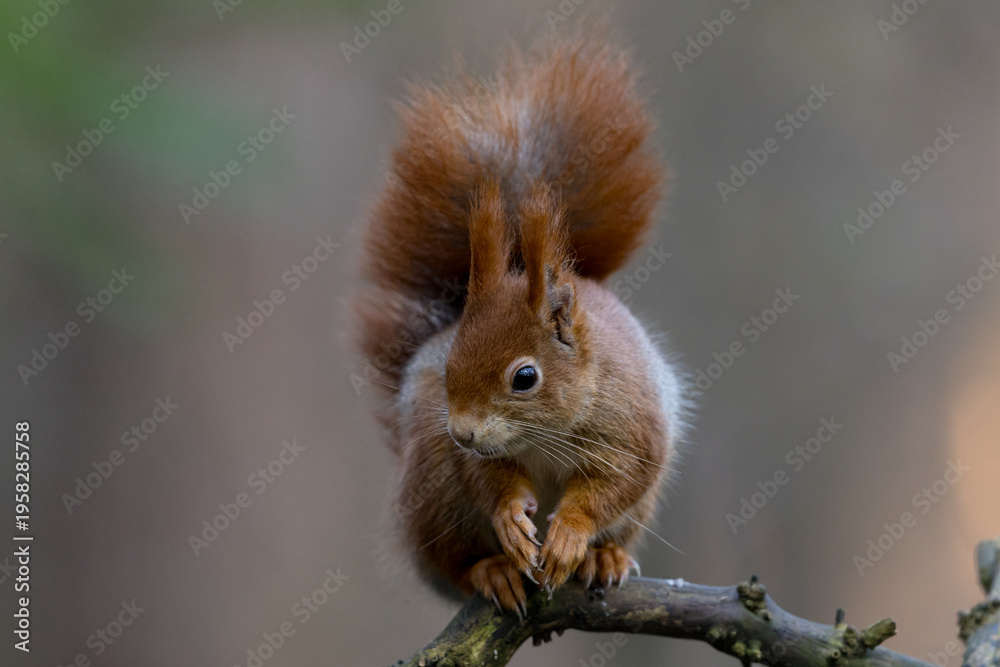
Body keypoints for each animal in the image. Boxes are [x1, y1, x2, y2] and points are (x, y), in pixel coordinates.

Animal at [354, 29, 687, 616]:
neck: (543, 435)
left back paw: (605, 557)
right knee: (452, 565)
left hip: (639, 509)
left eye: (525, 378)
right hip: (434, 484)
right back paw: (491, 570)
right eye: (449, 365)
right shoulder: (468, 456)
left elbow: (612, 485)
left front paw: (573, 533)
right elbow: (489, 480)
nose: (462, 432)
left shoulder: (632, 430)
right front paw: (510, 517)